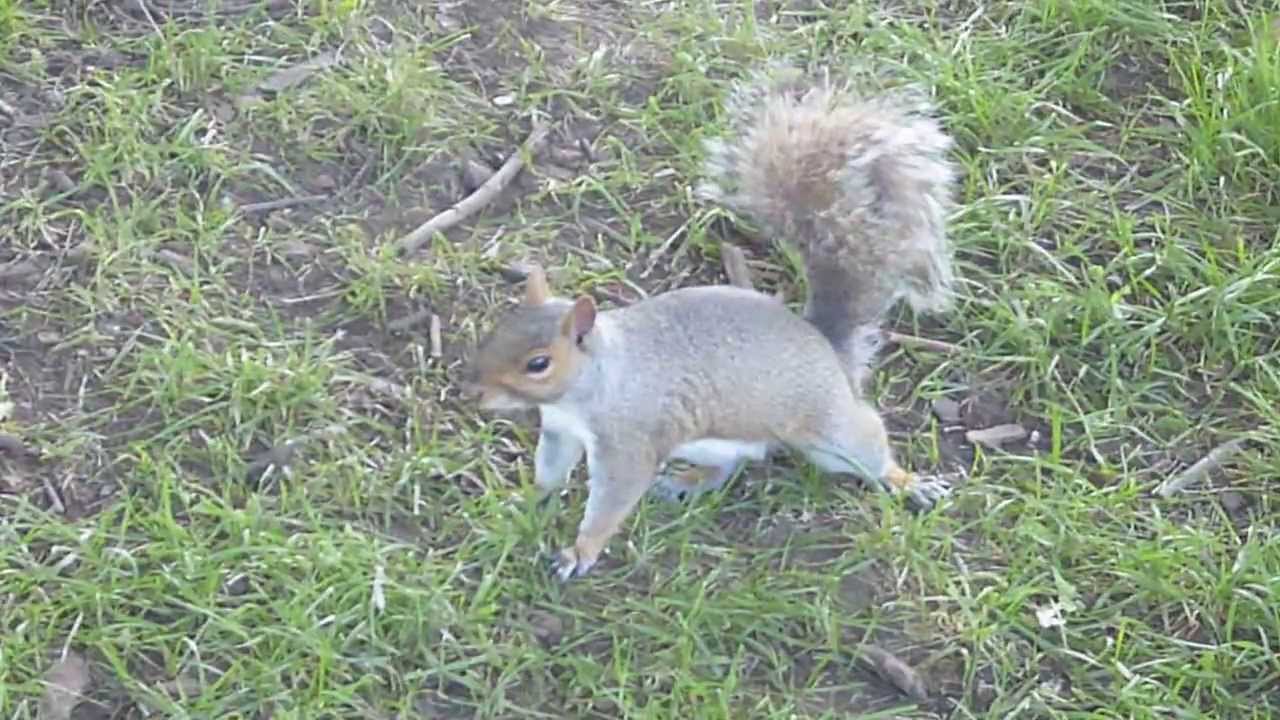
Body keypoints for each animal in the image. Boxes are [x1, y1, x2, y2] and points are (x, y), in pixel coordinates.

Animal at [459, 63, 959, 581]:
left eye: (538, 363)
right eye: (496, 330)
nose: (472, 391)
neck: (598, 380)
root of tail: (829, 349)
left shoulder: (628, 442)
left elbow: (612, 500)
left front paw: (580, 551)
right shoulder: (559, 430)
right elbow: (550, 472)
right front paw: (526, 499)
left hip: (828, 429)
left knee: (865, 445)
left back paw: (908, 481)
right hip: (715, 441)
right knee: (729, 466)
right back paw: (689, 480)